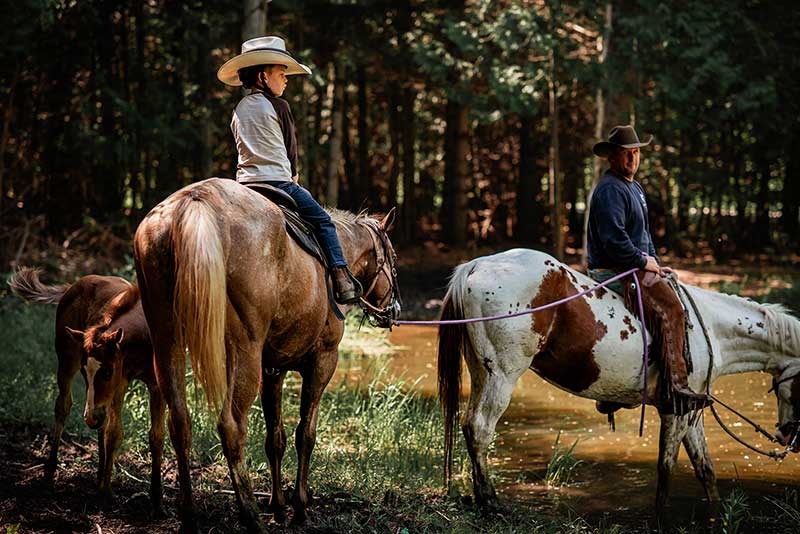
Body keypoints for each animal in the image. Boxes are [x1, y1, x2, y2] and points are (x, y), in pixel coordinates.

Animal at [8, 268, 165, 510]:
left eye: (107, 371)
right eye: (85, 372)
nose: (89, 418)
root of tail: (74, 284)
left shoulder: (153, 385)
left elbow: (156, 437)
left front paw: (157, 500)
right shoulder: (119, 383)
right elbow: (115, 434)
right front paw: (106, 494)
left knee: (101, 423)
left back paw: (99, 474)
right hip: (66, 362)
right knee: (64, 407)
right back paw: (50, 476)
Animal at [134, 178, 404, 532]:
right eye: (394, 259)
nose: (394, 310)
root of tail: (195, 201)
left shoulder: (272, 370)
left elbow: (275, 437)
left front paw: (278, 507)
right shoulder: (322, 361)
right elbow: (306, 433)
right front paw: (299, 507)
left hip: (167, 341)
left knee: (179, 421)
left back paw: (190, 514)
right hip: (243, 351)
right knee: (232, 428)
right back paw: (250, 517)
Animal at [438, 251, 800, 516]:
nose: (786, 435)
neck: (711, 329)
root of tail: (475, 266)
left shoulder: (689, 409)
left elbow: (705, 469)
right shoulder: (675, 410)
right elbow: (666, 469)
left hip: (481, 371)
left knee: (468, 425)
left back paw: (479, 497)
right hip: (502, 374)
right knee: (480, 428)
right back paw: (491, 501)